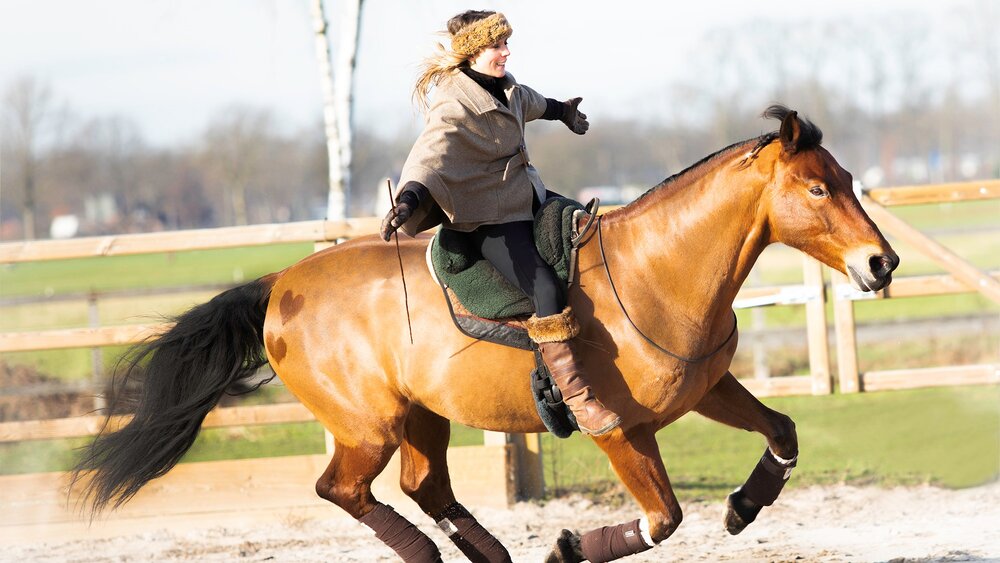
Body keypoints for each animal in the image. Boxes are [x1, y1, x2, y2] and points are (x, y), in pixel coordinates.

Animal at [72, 107, 900, 563]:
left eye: (848, 179)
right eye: (817, 187)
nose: (881, 262)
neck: (656, 270)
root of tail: (281, 285)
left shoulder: (708, 388)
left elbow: (783, 429)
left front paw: (745, 504)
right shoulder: (620, 431)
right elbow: (662, 518)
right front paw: (569, 547)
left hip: (422, 418)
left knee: (423, 484)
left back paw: (490, 552)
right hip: (367, 426)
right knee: (344, 487)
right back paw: (432, 554)